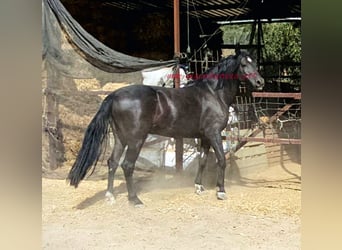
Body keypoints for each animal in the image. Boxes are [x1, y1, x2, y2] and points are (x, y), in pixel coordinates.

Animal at [67, 48, 264, 205]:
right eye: (243, 65)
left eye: (254, 63)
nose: (260, 82)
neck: (213, 94)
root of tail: (114, 95)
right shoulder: (214, 133)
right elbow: (221, 160)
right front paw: (221, 191)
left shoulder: (204, 137)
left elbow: (202, 160)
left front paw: (198, 187)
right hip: (136, 140)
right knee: (127, 165)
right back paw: (135, 200)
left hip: (120, 138)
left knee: (113, 163)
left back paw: (110, 196)